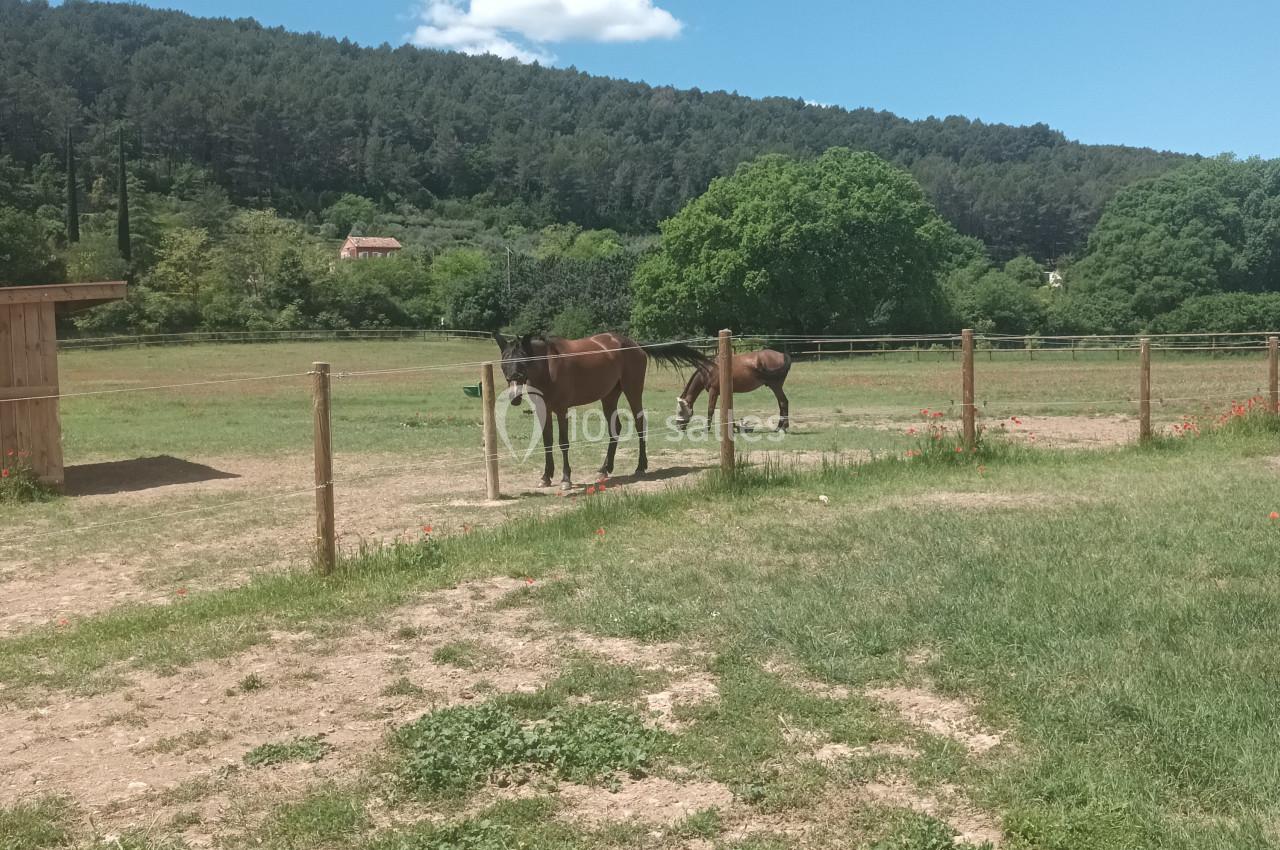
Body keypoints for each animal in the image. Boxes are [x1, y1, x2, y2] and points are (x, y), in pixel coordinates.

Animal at [494, 332, 712, 490]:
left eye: (523, 362)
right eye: (504, 363)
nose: (514, 397)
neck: (548, 367)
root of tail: (635, 345)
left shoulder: (561, 409)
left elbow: (563, 443)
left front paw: (566, 479)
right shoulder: (543, 410)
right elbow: (547, 443)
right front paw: (546, 477)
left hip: (632, 391)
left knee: (639, 424)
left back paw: (640, 466)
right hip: (609, 396)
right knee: (615, 429)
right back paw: (605, 469)